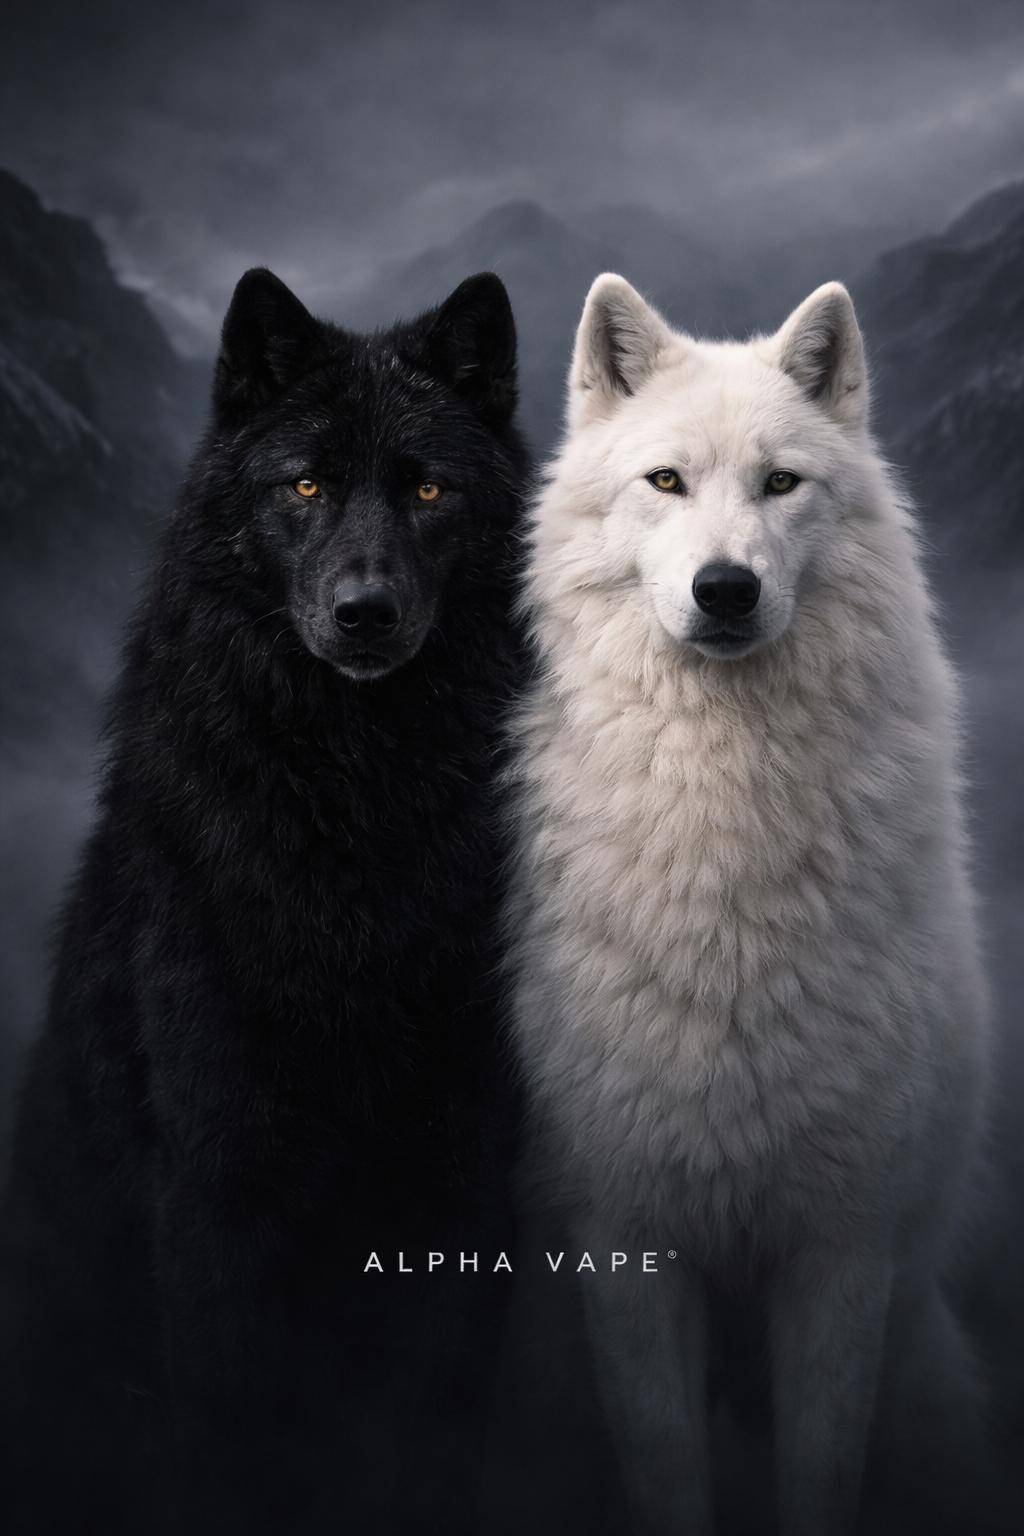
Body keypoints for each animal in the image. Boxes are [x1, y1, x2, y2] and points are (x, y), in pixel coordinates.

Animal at [1, 267, 529, 1534]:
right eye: (305, 485)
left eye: (427, 488)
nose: (364, 612)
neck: (360, 819)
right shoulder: (220, 1189)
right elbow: (243, 1445)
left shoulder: (467, 1180)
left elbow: (433, 1440)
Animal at [509, 274, 993, 1534]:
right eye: (665, 482)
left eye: (781, 484)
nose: (724, 589)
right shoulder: (625, 1241)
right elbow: (667, 1472)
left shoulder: (840, 1246)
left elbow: (818, 1475)